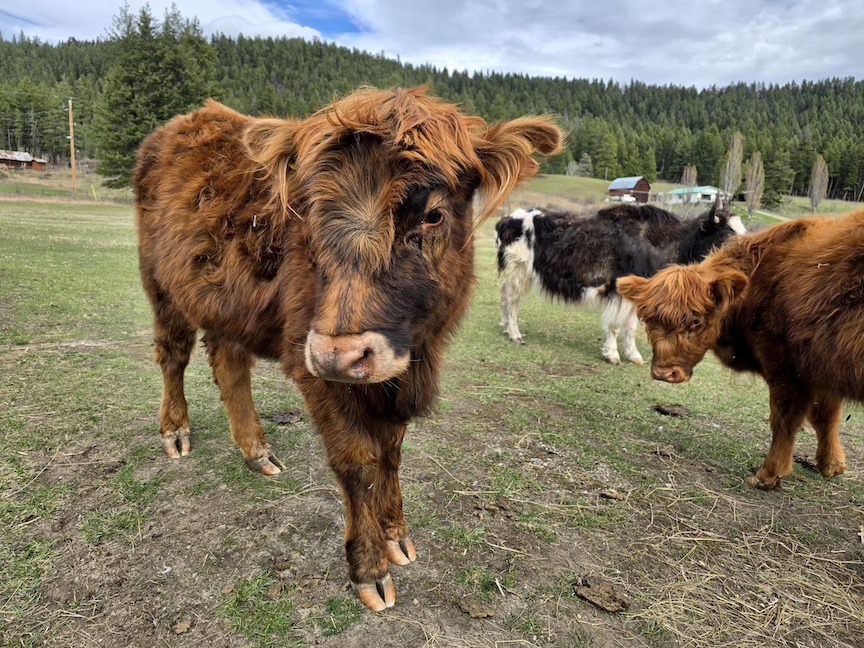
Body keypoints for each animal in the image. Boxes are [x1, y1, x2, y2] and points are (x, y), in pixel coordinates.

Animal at [132, 86, 563, 611]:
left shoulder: (399, 377)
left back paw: (256, 450)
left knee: (228, 361)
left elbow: (391, 454)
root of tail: (184, 123)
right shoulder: (317, 374)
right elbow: (358, 463)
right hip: (162, 286)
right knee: (173, 354)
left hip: (222, 302)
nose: (340, 354)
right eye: (307, 213)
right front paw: (370, 566)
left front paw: (397, 535)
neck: (417, 353)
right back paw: (175, 431)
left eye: (433, 214)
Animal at [495, 203, 745, 364]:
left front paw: (634, 355)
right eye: (726, 238)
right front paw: (613, 355)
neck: (664, 243)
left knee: (504, 294)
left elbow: (631, 326)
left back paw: (506, 327)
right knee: (512, 301)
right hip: (519, 271)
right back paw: (515, 335)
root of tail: (506, 219)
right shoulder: (618, 290)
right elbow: (615, 324)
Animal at [616, 210, 864, 489]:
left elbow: (784, 419)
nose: (663, 373)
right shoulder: (821, 371)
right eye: (648, 320)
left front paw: (768, 474)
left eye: (696, 322)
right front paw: (831, 464)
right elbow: (825, 418)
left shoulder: (787, 368)